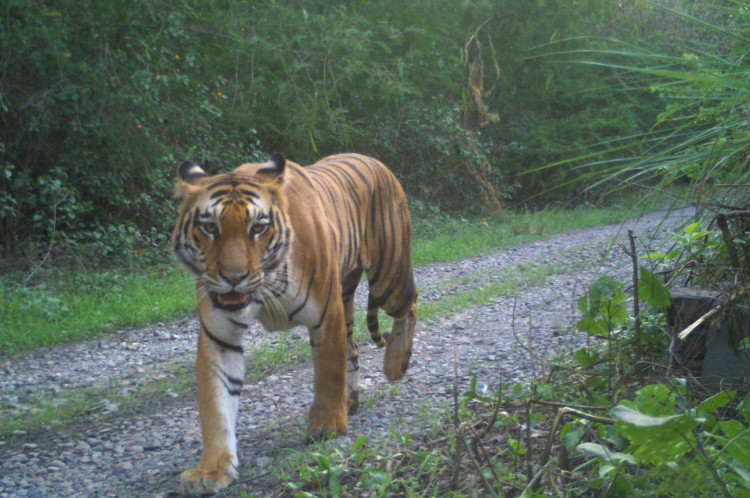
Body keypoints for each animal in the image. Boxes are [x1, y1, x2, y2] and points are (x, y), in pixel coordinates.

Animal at [171, 152, 418, 495]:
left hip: (386, 276)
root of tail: (375, 160)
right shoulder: (219, 335)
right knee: (354, 347)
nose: (233, 277)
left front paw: (327, 426)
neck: (263, 286)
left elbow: (328, 372)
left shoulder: (326, 314)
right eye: (210, 227)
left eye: (258, 227)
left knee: (411, 303)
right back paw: (350, 402)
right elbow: (215, 403)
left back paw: (395, 365)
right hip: (347, 293)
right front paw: (211, 469)